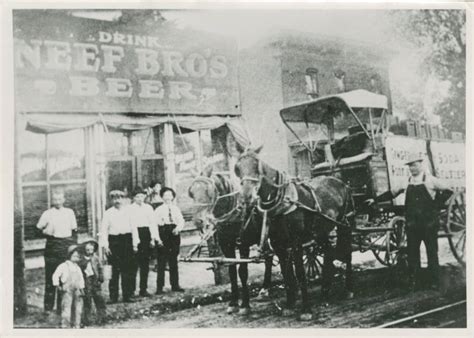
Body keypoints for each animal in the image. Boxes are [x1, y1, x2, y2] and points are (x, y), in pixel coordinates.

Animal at [187, 166, 272, 314]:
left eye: (209, 191)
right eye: (191, 192)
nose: (198, 221)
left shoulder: (243, 244)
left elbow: (242, 272)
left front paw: (245, 305)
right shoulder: (226, 245)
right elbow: (232, 272)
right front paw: (233, 303)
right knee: (269, 256)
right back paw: (265, 289)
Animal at [235, 145, 354, 320]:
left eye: (257, 165)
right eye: (237, 168)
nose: (246, 197)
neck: (282, 202)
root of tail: (342, 183)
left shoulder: (296, 242)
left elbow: (299, 272)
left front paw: (306, 310)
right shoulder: (278, 244)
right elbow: (286, 272)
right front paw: (290, 304)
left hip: (345, 224)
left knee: (347, 253)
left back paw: (348, 289)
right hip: (321, 231)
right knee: (329, 253)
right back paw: (325, 290)